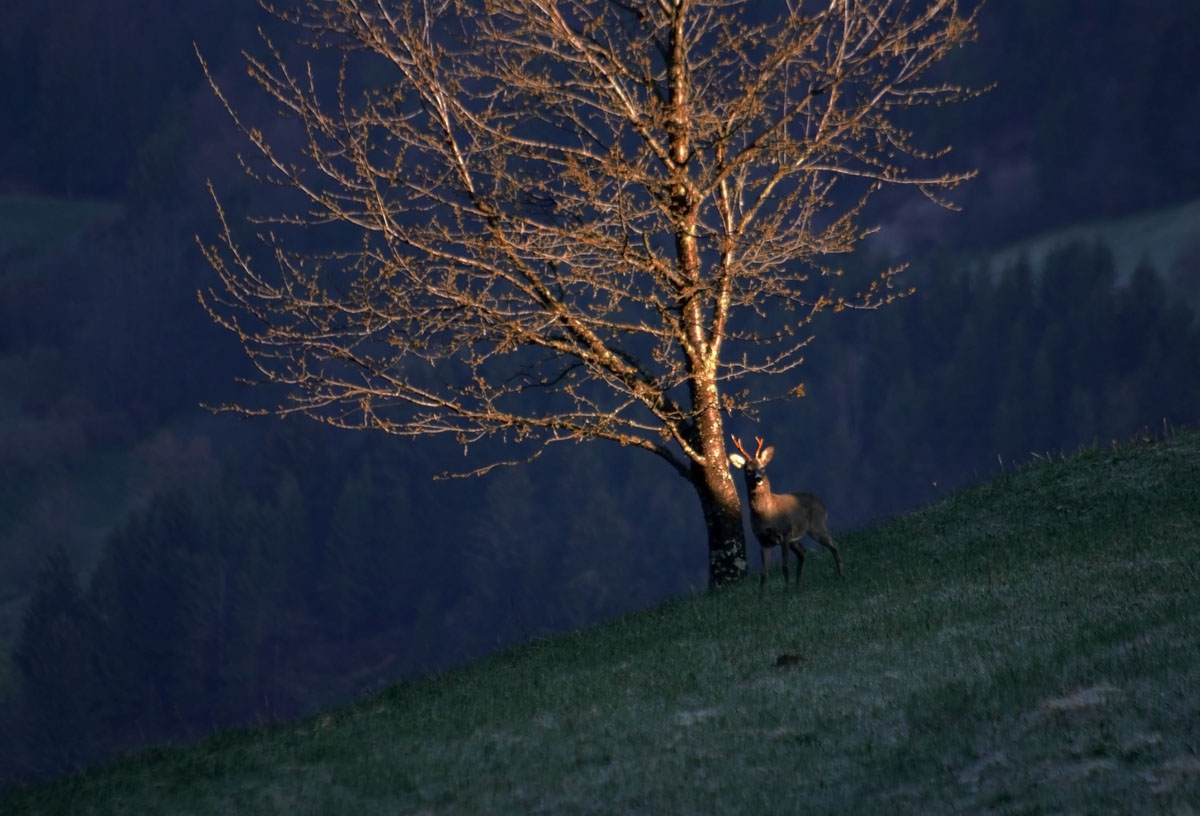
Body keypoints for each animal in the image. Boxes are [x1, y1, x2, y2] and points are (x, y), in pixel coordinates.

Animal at [720, 434, 844, 592]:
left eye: (763, 467)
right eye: (747, 469)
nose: (758, 479)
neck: (765, 514)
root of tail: (822, 503)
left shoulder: (785, 533)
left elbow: (785, 567)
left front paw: (787, 591)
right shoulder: (763, 540)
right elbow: (764, 574)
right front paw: (762, 596)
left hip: (816, 526)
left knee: (834, 545)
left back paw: (841, 575)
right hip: (796, 538)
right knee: (803, 552)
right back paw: (798, 583)